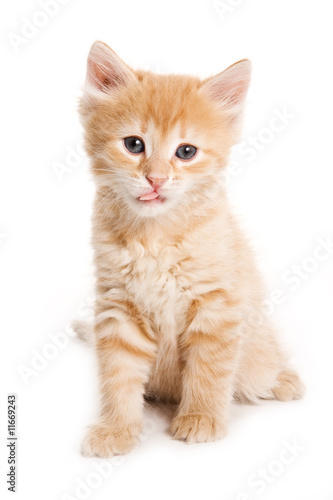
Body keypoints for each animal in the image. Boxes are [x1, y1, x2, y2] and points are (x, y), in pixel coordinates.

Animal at [78, 42, 304, 458]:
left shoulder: (217, 304)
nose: (156, 179)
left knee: (261, 367)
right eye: (134, 145)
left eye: (186, 152)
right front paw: (117, 429)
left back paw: (284, 380)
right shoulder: (118, 307)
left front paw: (201, 418)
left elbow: (209, 369)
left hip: (258, 353)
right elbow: (118, 376)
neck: (154, 237)